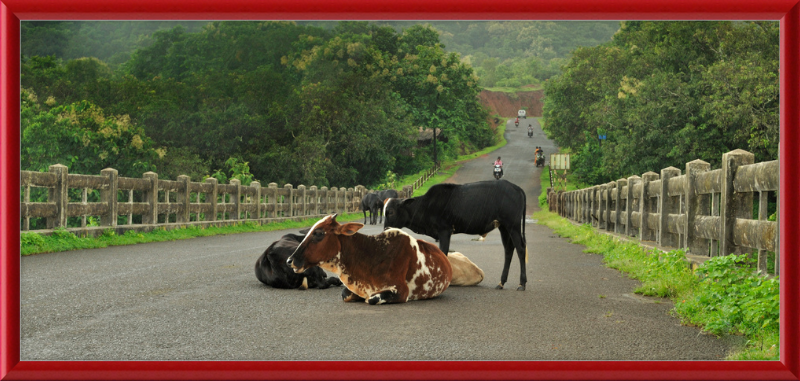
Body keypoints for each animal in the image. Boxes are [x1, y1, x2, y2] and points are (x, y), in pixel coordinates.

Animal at [382, 180, 528, 290]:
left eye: (391, 212)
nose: (385, 229)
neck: (426, 205)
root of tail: (516, 188)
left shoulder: (445, 231)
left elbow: (443, 253)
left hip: (513, 225)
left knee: (521, 249)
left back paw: (522, 283)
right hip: (504, 227)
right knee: (509, 250)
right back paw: (501, 282)